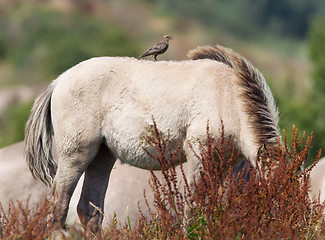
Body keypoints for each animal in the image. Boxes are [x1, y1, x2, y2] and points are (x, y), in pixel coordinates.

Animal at [24, 45, 280, 231]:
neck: (227, 96)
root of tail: (58, 82)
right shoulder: (198, 155)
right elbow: (193, 207)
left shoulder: (221, 165)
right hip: (76, 155)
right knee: (58, 207)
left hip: (102, 157)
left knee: (89, 212)